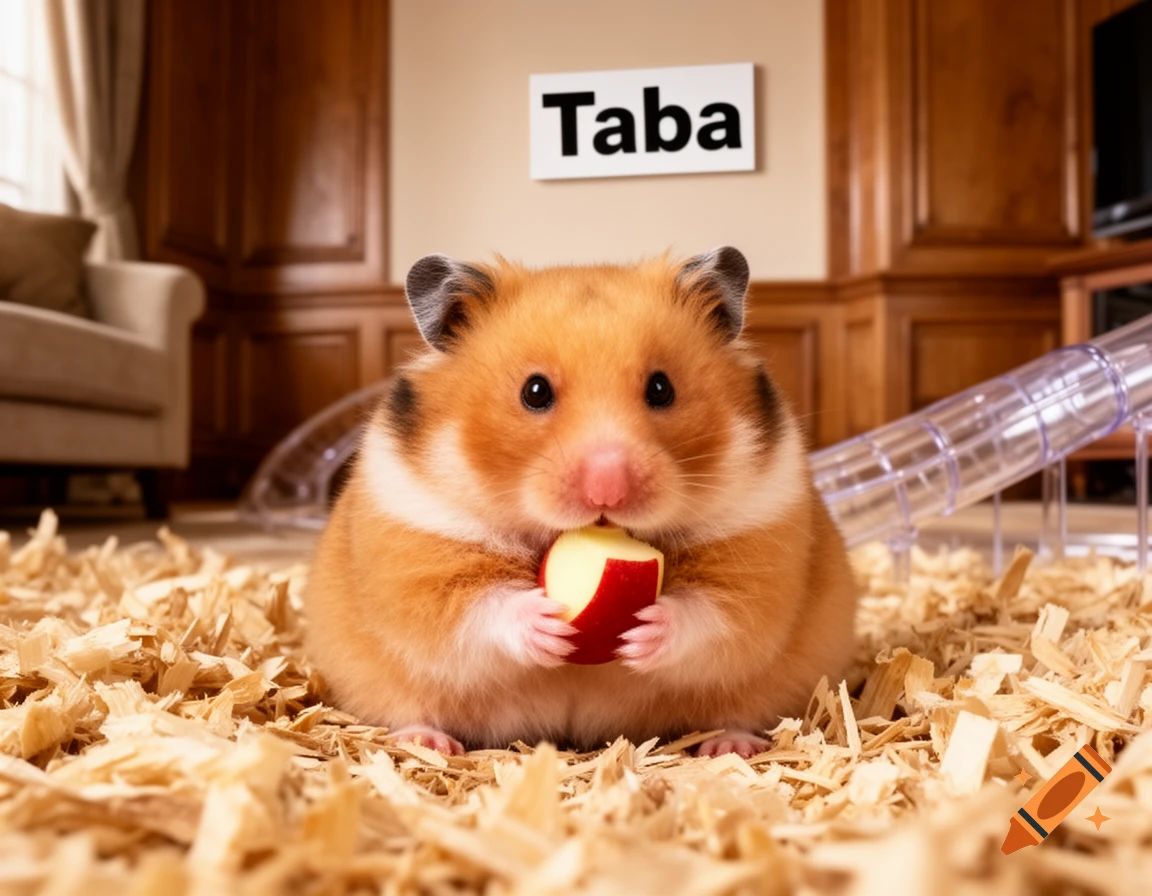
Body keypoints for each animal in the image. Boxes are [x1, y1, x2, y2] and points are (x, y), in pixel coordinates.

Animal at [303, 247, 858, 758]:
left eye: (662, 388)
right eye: (534, 391)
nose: (607, 489)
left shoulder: (757, 552)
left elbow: (716, 614)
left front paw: (642, 630)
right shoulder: (420, 557)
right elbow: (470, 610)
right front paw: (546, 621)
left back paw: (730, 747)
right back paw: (428, 743)